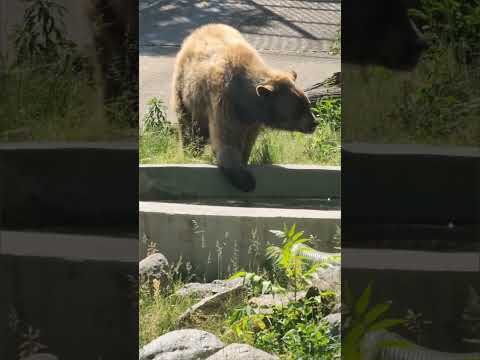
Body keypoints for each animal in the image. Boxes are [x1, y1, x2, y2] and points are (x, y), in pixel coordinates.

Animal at [171, 23, 316, 193]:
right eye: (299, 108)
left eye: (307, 103)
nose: (314, 123)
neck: (246, 100)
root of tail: (198, 30)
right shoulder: (224, 100)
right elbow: (226, 138)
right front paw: (245, 179)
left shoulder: (252, 119)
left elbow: (247, 141)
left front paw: (244, 161)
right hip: (185, 94)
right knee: (189, 127)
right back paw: (191, 152)